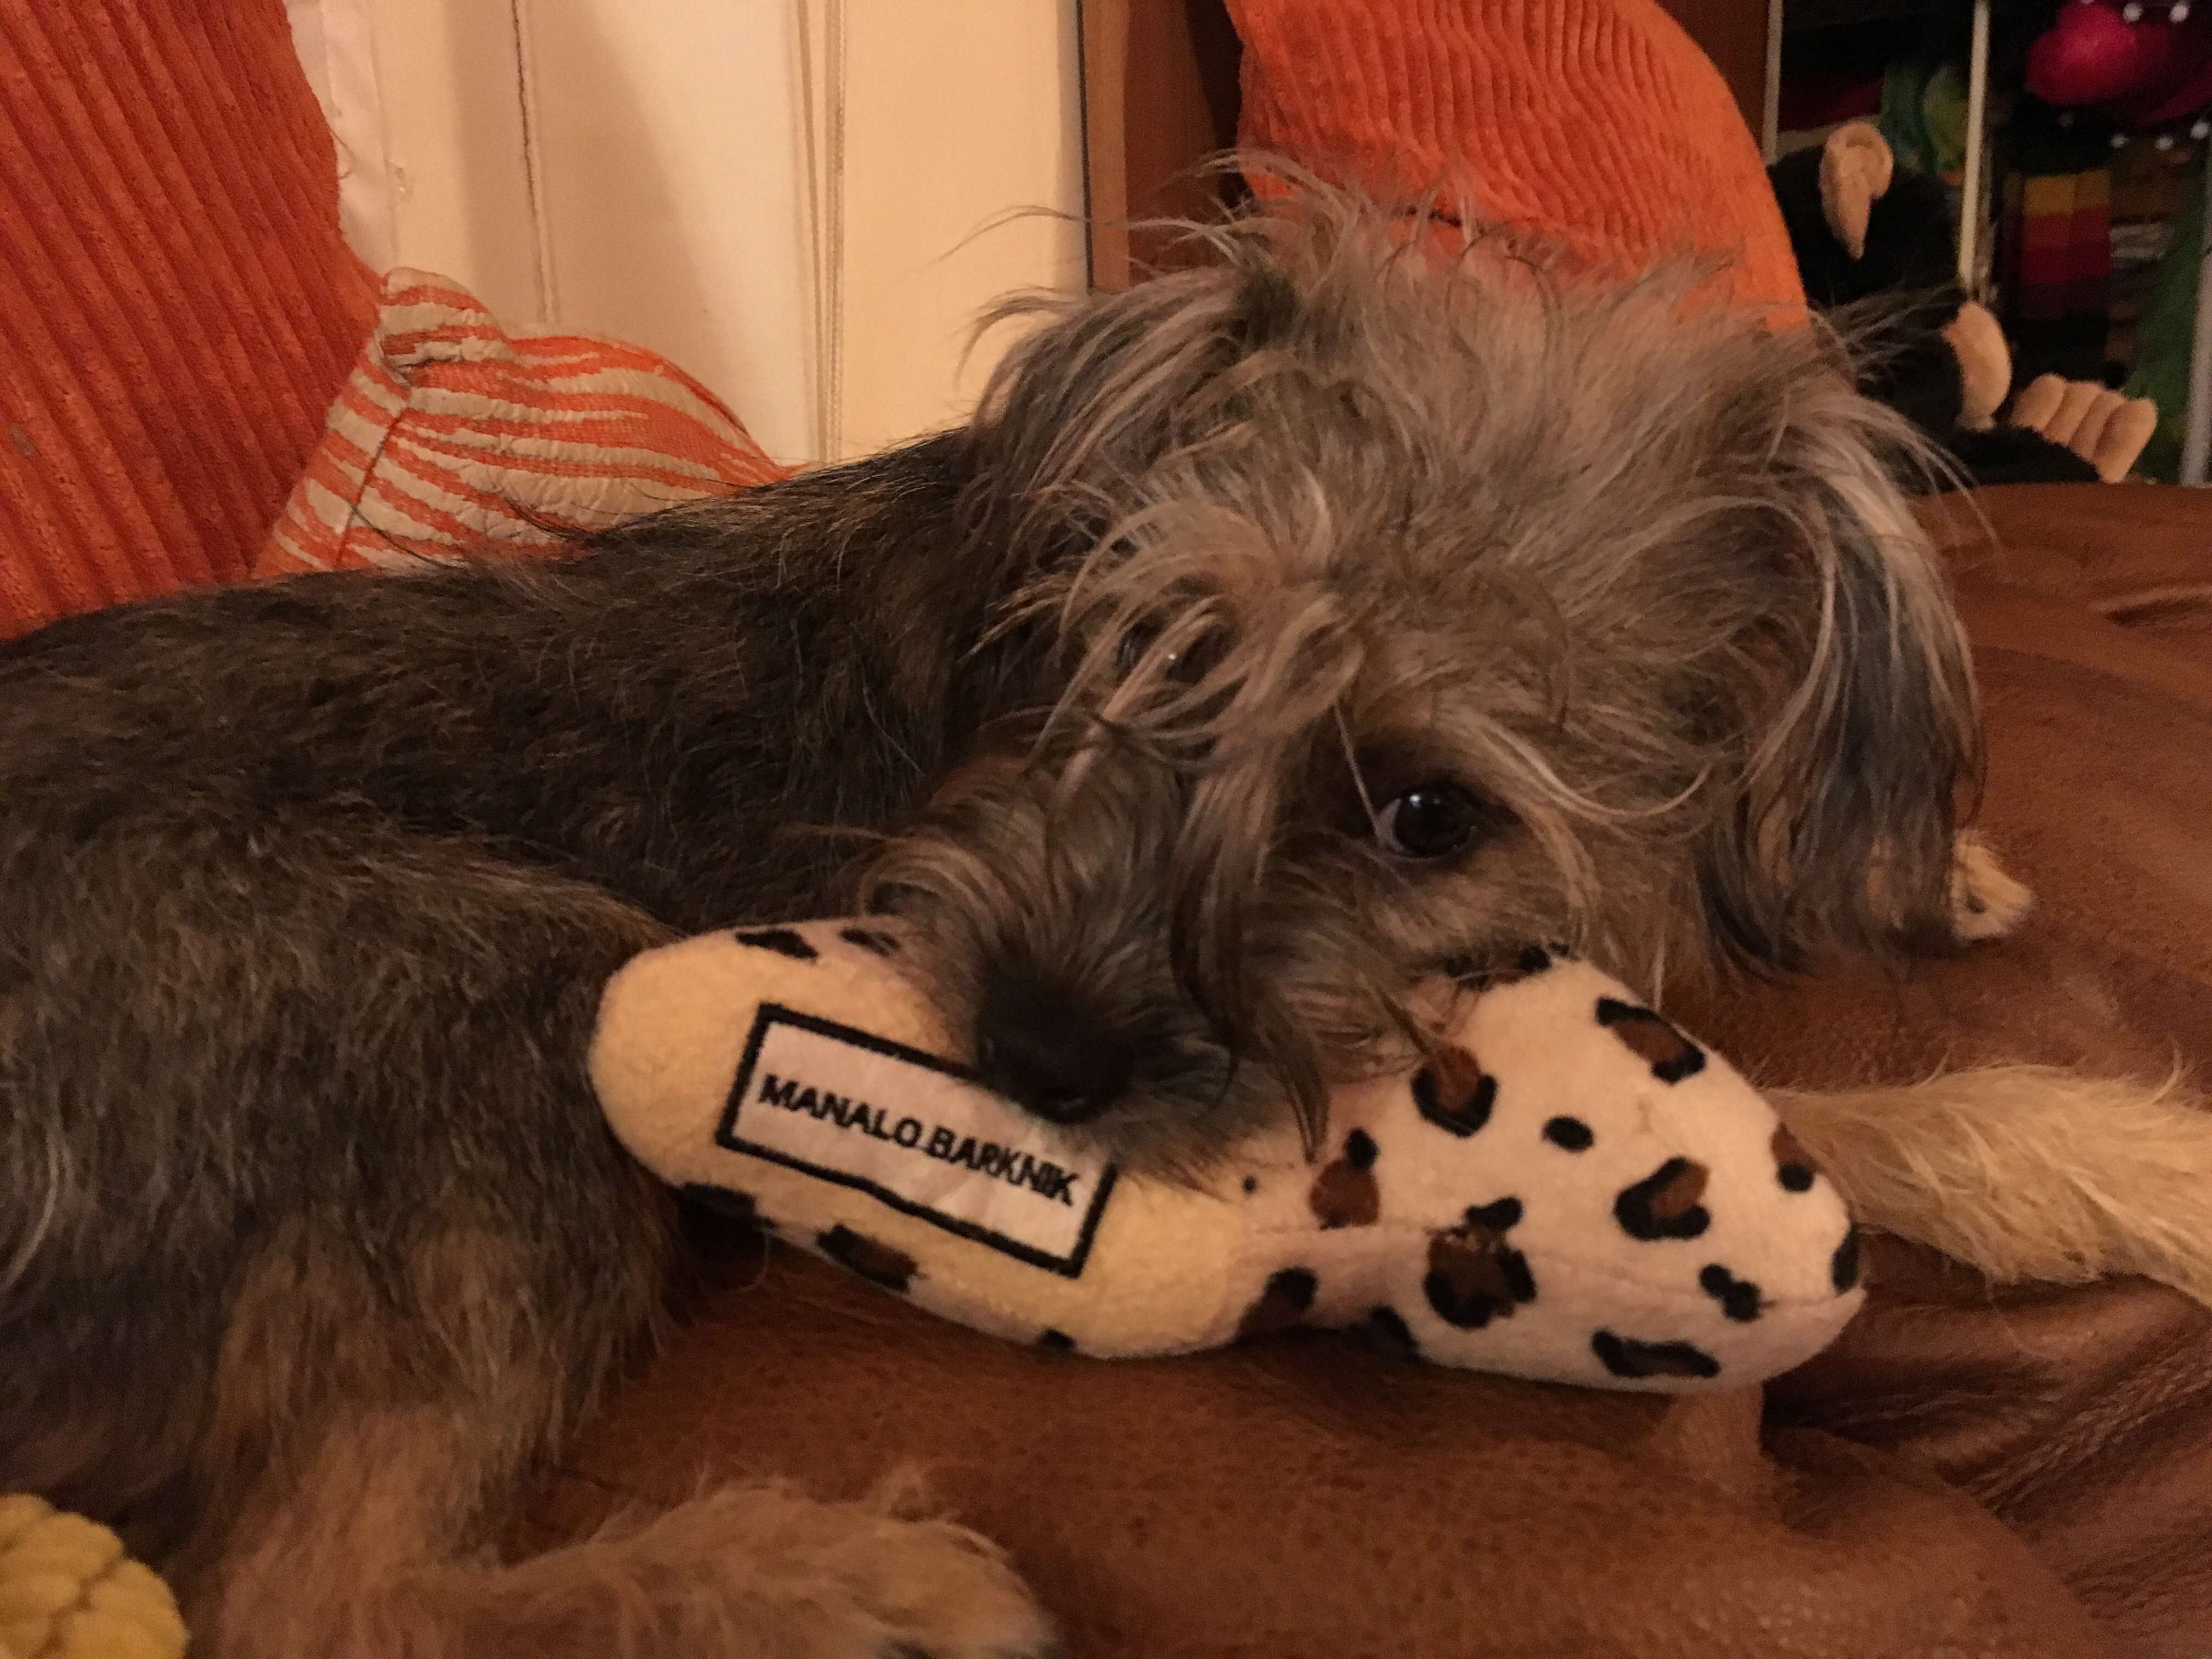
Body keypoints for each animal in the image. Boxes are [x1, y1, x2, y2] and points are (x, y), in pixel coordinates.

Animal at [4, 185, 2205, 1659]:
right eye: (1149, 649)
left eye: (1424, 811)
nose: (1028, 1059)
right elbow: (1829, 1114)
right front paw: (2121, 1150)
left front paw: (1947, 903)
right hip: (489, 979)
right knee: (318, 1601)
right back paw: (836, 1579)